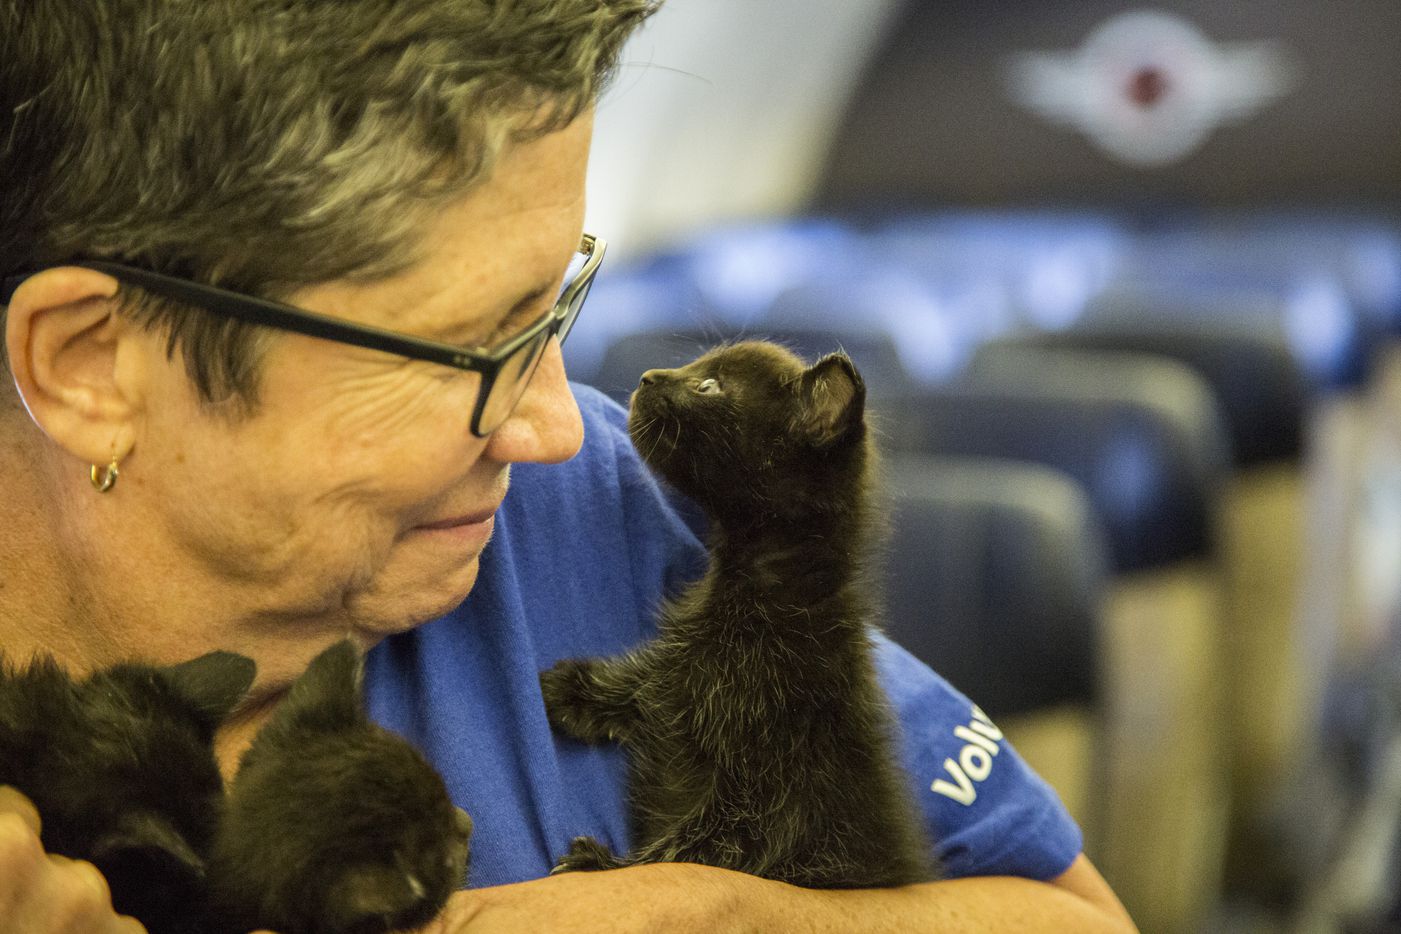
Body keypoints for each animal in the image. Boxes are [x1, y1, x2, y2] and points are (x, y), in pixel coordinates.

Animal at [540, 341, 935, 884]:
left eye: (710, 386)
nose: (648, 377)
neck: (758, 595)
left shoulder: (776, 791)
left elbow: (701, 845)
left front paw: (605, 866)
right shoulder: (682, 670)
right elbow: (648, 680)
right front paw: (573, 689)